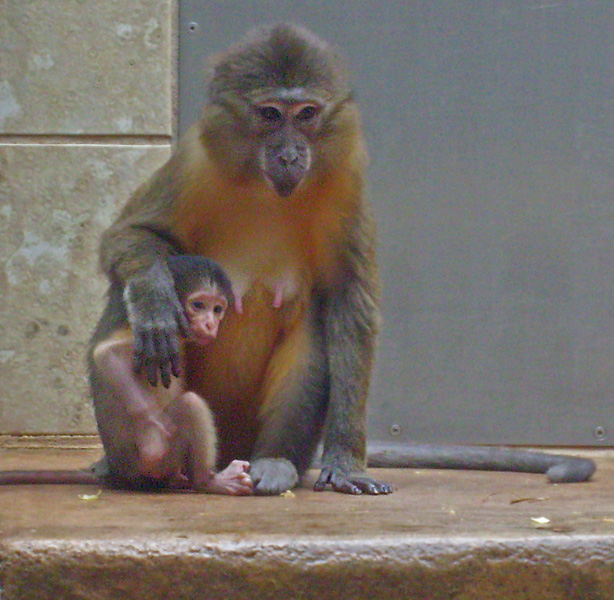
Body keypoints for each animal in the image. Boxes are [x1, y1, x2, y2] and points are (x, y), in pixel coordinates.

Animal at [91, 255, 253, 494]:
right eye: (198, 305)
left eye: (217, 309)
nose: (210, 324)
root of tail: (124, 474)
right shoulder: (159, 336)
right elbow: (106, 354)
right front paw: (151, 436)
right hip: (156, 465)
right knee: (191, 405)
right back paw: (208, 481)